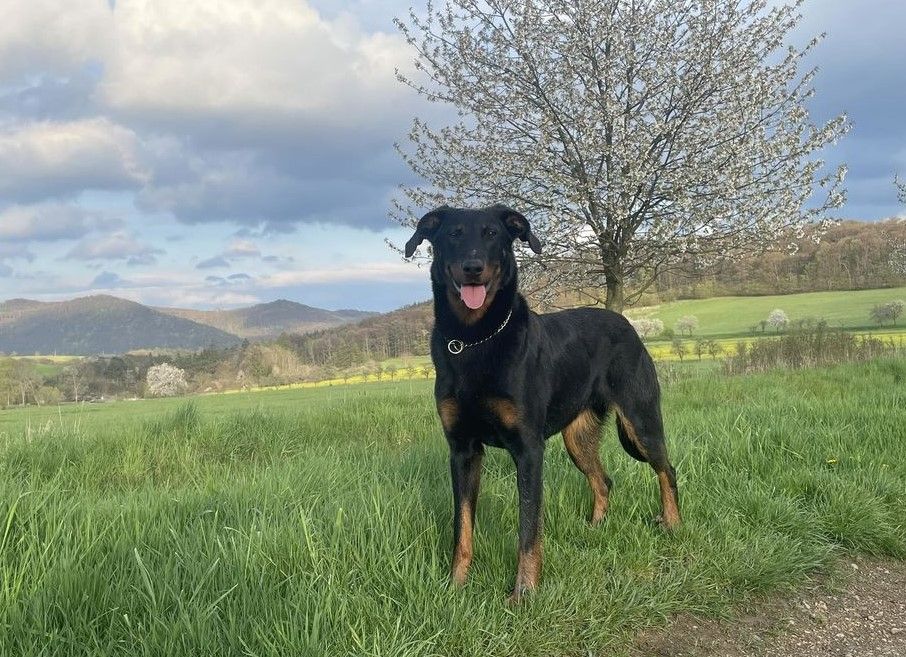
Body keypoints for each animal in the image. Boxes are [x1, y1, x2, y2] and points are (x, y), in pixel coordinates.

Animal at [405, 204, 680, 603]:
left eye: (493, 235)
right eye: (453, 234)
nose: (473, 267)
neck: (473, 339)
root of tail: (626, 324)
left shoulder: (528, 450)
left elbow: (529, 528)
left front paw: (523, 593)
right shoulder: (462, 450)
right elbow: (463, 526)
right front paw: (455, 585)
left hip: (639, 420)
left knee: (666, 469)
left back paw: (672, 524)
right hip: (577, 437)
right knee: (603, 480)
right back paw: (596, 528)